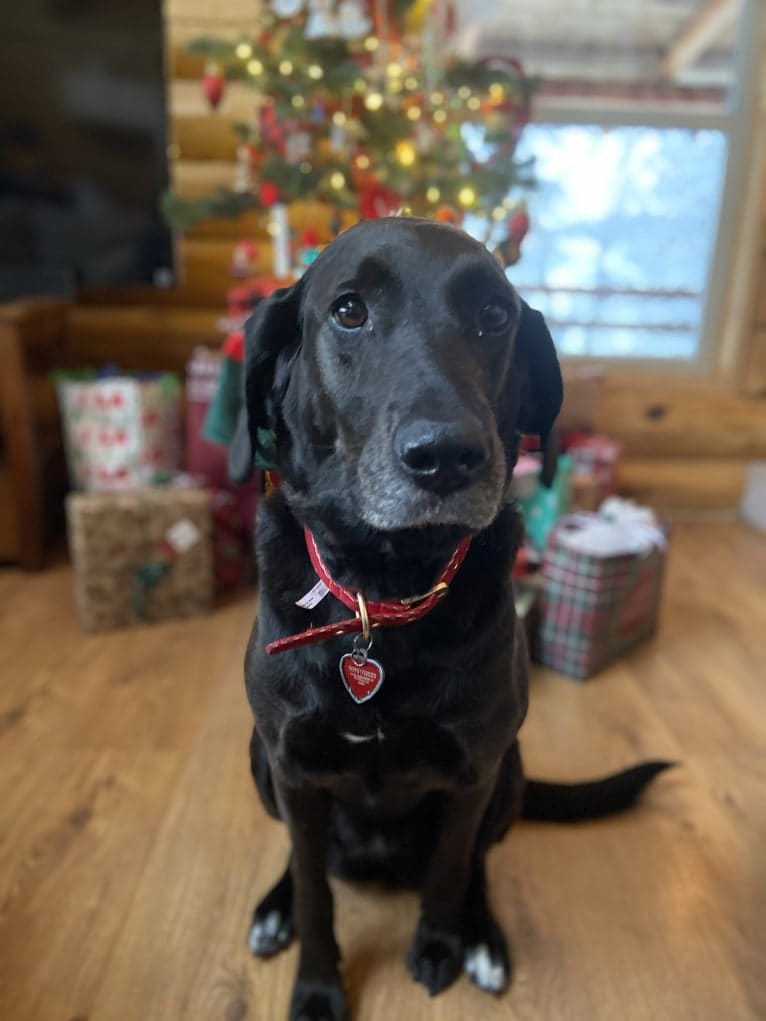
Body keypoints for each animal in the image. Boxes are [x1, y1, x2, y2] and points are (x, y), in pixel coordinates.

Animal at [229, 217, 669, 1021]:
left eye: (494, 316)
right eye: (348, 310)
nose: (447, 456)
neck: (382, 590)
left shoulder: (473, 769)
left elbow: (450, 872)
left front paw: (440, 945)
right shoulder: (293, 769)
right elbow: (313, 891)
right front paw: (317, 984)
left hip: (510, 773)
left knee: (476, 865)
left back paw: (482, 936)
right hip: (260, 761)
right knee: (304, 863)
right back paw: (275, 906)